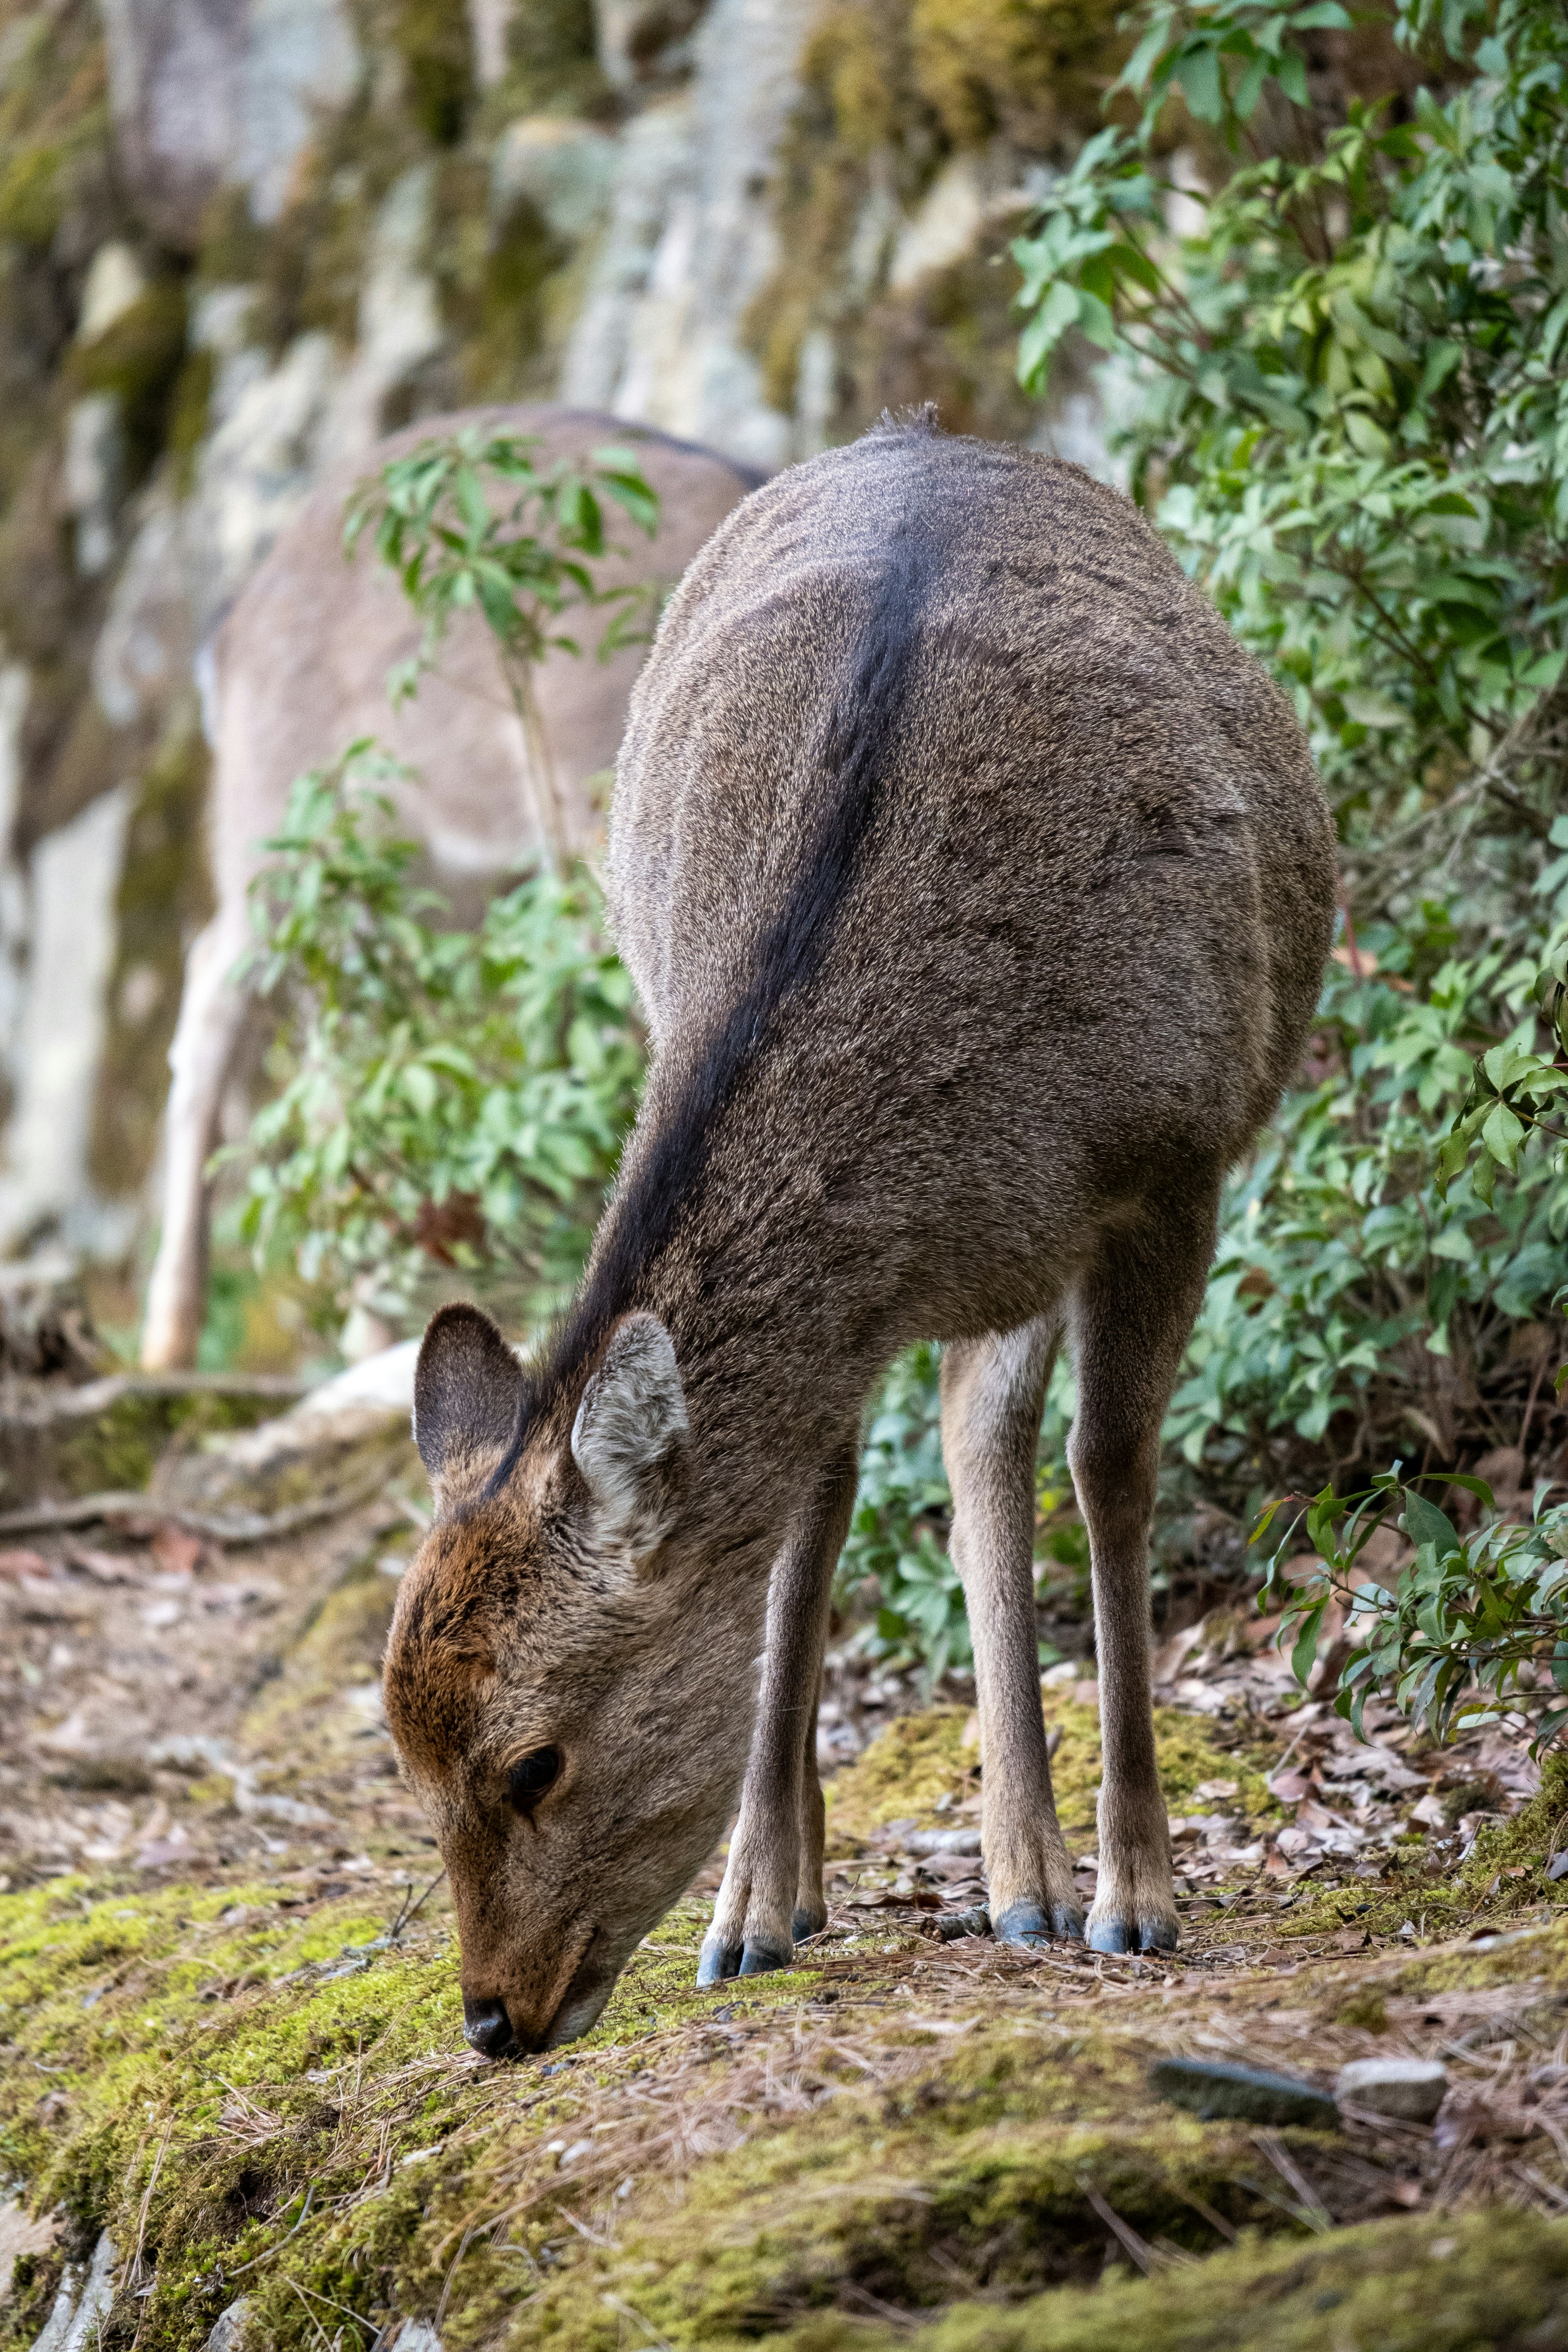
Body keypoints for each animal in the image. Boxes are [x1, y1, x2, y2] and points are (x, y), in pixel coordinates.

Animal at [381, 414, 1335, 2051]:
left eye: (533, 1759)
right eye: (407, 1765)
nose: (492, 2016)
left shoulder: (1176, 1156)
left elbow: (1113, 1471)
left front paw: (1139, 1891)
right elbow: (805, 1523)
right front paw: (750, 1909)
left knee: (988, 1435)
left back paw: (1035, 1875)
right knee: (916, 1451)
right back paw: (895, 1876)